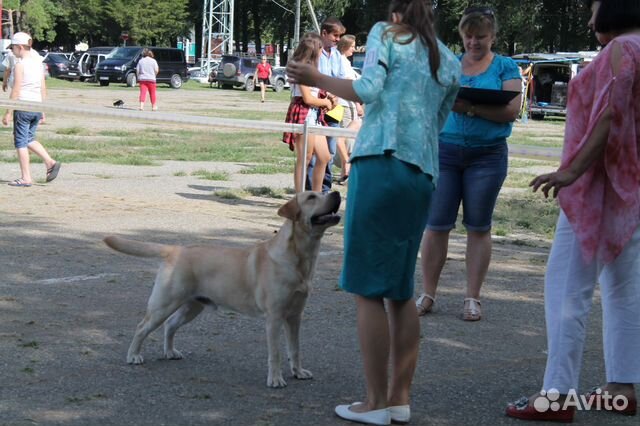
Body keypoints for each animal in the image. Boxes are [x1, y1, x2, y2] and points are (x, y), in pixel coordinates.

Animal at [102, 191, 340, 388]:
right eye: (311, 197)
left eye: (323, 192)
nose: (337, 193)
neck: (300, 258)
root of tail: (175, 250)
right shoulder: (274, 317)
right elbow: (276, 353)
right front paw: (275, 379)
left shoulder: (295, 316)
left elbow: (295, 349)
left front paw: (298, 372)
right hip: (164, 303)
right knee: (142, 327)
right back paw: (133, 356)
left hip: (192, 306)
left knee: (170, 326)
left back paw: (170, 352)